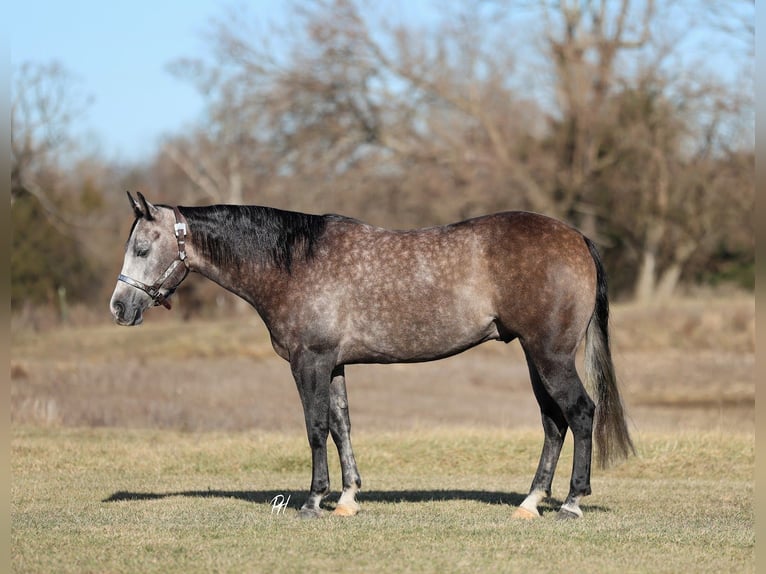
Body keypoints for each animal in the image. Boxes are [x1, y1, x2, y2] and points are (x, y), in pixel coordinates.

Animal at [109, 191, 634, 520]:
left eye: (142, 248)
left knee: (580, 413)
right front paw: (347, 498)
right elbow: (342, 425)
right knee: (554, 423)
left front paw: (313, 501)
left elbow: (316, 427)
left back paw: (570, 502)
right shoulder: (334, 365)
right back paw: (530, 501)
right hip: (534, 355)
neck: (292, 264)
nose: (119, 307)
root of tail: (576, 238)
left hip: (550, 355)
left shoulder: (310, 362)